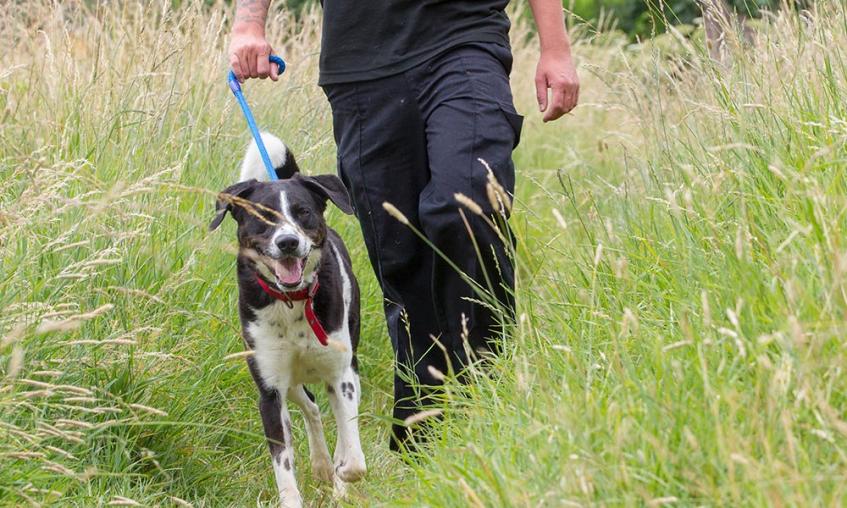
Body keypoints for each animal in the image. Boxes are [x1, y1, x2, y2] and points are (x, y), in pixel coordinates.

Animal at [210, 133, 366, 506]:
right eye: (264, 217)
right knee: (310, 407)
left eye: (303, 212)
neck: (292, 302)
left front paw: (343, 475)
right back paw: (321, 465)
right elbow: (283, 465)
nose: (288, 241)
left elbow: (352, 455)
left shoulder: (342, 376)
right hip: (290, 381)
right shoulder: (269, 391)